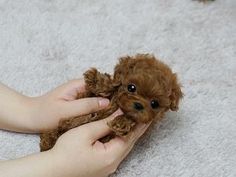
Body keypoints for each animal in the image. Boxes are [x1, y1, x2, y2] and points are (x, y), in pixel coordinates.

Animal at [40, 53, 183, 151]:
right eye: (131, 87)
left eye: (154, 104)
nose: (138, 105)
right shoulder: (92, 95)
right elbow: (108, 88)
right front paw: (97, 80)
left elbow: (130, 120)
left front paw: (122, 122)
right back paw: (48, 140)